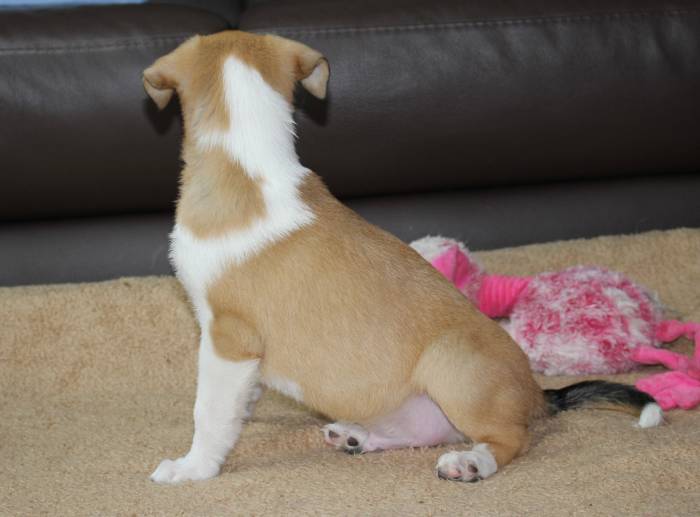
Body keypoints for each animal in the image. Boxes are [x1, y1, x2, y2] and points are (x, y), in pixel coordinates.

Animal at [143, 31, 663, 484]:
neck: (248, 165)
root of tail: (537, 394)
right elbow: (238, 404)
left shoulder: (229, 338)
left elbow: (209, 412)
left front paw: (193, 468)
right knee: (421, 433)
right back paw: (356, 436)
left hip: (451, 365)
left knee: (511, 439)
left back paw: (471, 463)